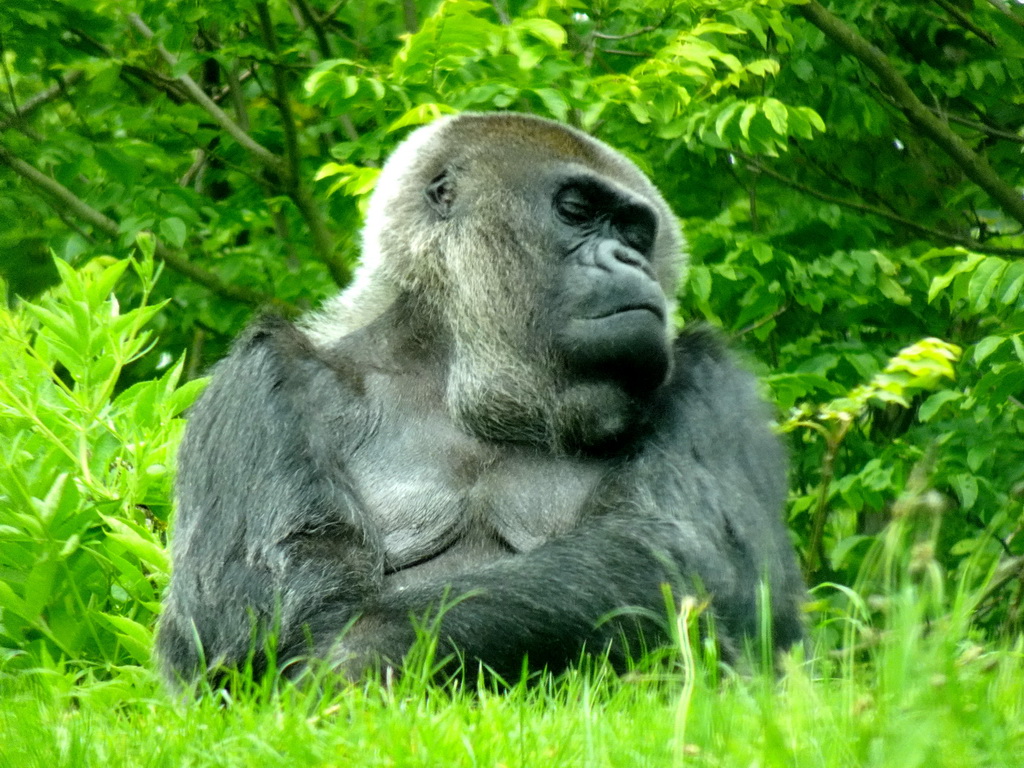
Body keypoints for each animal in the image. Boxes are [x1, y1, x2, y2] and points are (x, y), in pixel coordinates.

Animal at [155, 109, 802, 684]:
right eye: (575, 212)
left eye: (635, 234)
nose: (631, 260)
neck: (460, 372)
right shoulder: (262, 381)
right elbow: (266, 620)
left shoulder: (709, 377)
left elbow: (683, 555)